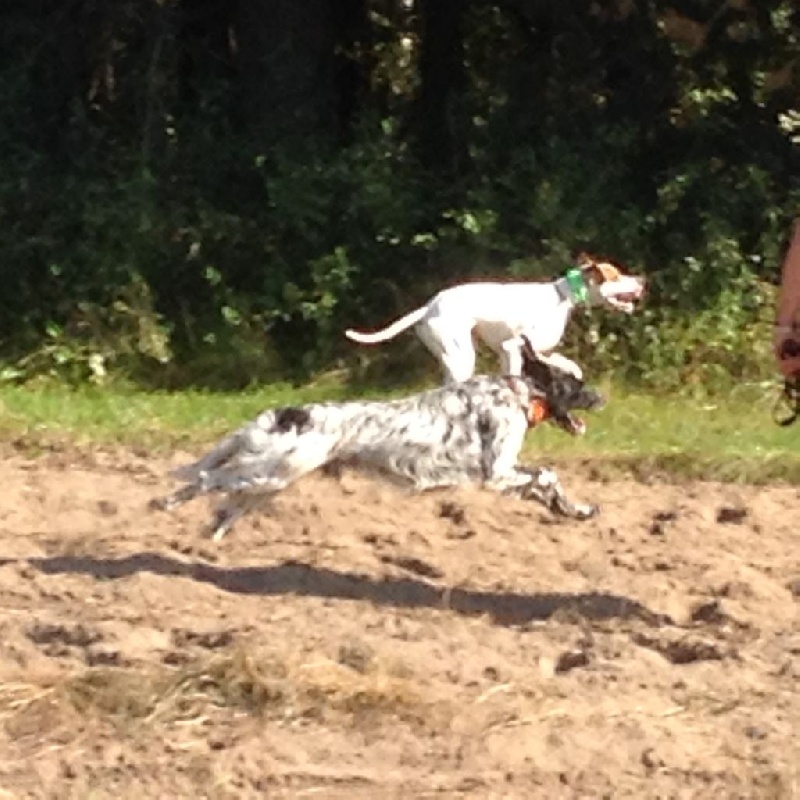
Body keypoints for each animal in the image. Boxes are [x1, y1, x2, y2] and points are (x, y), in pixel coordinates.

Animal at [150, 340, 604, 540]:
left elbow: (547, 485)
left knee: (224, 504)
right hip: (270, 472)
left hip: (270, 480)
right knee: (207, 480)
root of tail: (289, 413)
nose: (602, 397)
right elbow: (545, 475)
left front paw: (576, 509)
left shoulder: (507, 472)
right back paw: (161, 504)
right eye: (576, 384)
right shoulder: (495, 471)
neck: (517, 393)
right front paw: (567, 504)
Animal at [346, 253, 648, 384]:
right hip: (462, 357)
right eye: (616, 275)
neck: (562, 296)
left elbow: (566, 364)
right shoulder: (512, 348)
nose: (643, 279)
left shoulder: (531, 351)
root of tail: (430, 306)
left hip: (452, 358)